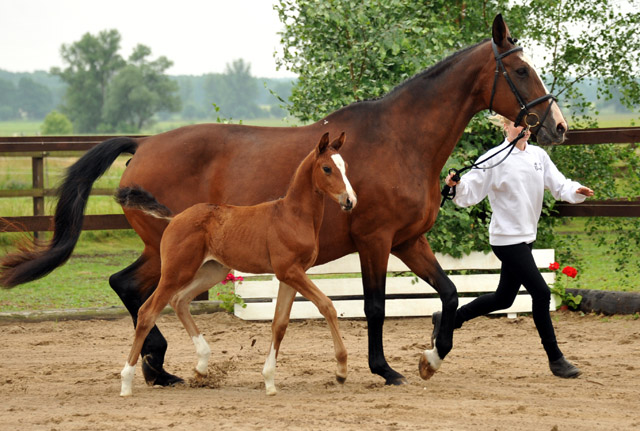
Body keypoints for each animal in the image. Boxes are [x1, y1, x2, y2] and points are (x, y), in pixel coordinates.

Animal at [115, 132, 356, 398]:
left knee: (179, 300)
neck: (293, 216)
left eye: (345, 167)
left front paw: (269, 381)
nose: (349, 200)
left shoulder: (291, 275)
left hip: (211, 270)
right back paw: (126, 383)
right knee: (148, 311)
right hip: (175, 271)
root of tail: (176, 217)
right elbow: (327, 305)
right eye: (327, 168)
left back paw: (201, 366)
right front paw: (341, 371)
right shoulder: (290, 271)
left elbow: (280, 324)